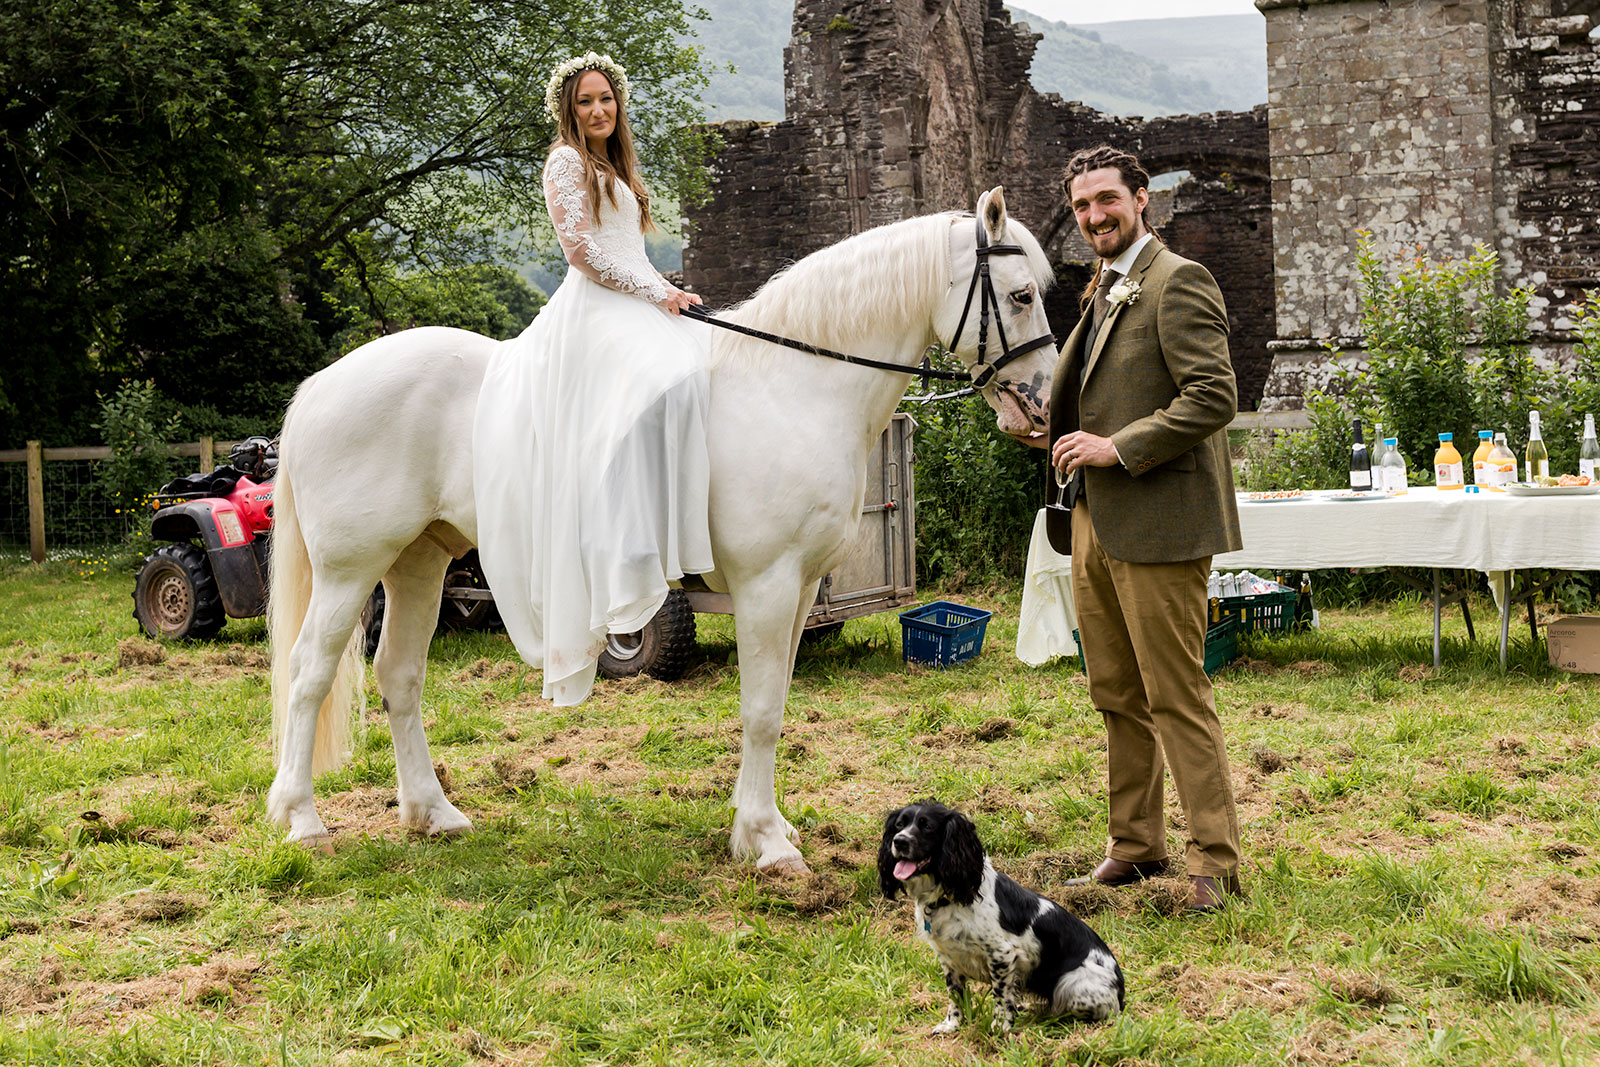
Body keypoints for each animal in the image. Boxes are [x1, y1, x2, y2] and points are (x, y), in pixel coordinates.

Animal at [268, 187, 1056, 870]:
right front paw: (768, 843)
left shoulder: (801, 591)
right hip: (350, 571)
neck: (789, 386)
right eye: (1022, 295)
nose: (1042, 405)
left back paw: (432, 812)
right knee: (309, 673)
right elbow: (760, 711)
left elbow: (773, 702)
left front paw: (758, 827)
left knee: (399, 675)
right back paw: (302, 819)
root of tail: (322, 384)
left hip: (418, 563)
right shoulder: (767, 586)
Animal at [876, 799, 1126, 1036]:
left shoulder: (1002, 955)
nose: (899, 841)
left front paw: (1000, 1028)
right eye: (899, 825)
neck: (950, 896)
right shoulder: (949, 958)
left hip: (1071, 985)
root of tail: (1121, 992)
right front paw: (951, 1025)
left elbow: (1000, 995)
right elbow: (955, 995)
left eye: (927, 826)